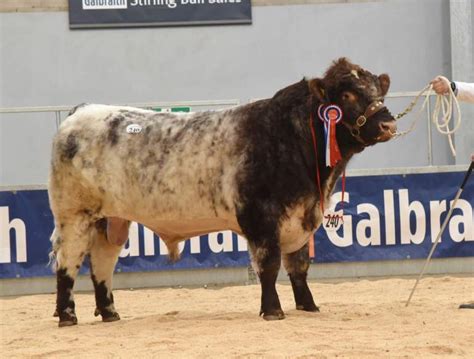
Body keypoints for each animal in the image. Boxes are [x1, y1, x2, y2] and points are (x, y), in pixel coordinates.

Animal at [48, 57, 396, 328]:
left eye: (378, 92)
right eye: (348, 94)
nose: (388, 125)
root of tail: (81, 112)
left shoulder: (301, 217)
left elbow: (299, 267)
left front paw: (308, 306)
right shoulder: (261, 218)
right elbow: (269, 266)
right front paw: (273, 310)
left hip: (111, 220)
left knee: (101, 263)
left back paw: (109, 312)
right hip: (74, 215)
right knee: (68, 263)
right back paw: (67, 315)